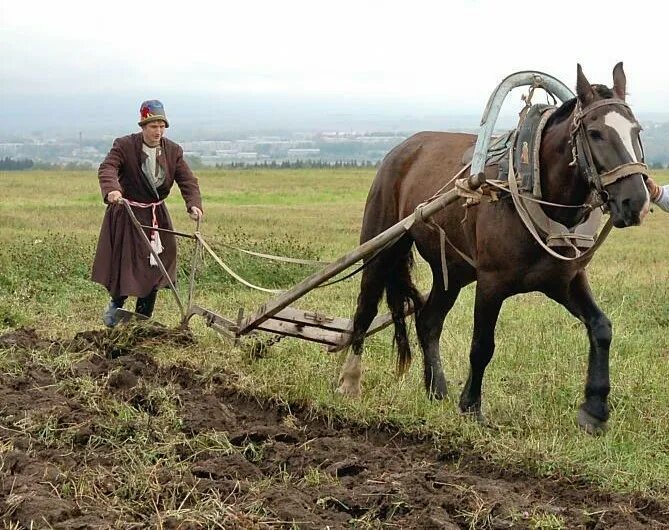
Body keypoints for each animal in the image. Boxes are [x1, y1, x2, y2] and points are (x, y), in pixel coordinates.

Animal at [336, 63, 648, 434]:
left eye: (637, 130)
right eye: (597, 133)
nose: (636, 201)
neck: (532, 185)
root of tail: (402, 149)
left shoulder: (564, 280)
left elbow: (601, 328)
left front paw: (595, 409)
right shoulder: (491, 283)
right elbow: (482, 344)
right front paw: (471, 406)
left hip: (452, 272)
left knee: (428, 320)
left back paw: (436, 389)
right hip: (383, 244)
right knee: (366, 308)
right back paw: (350, 381)